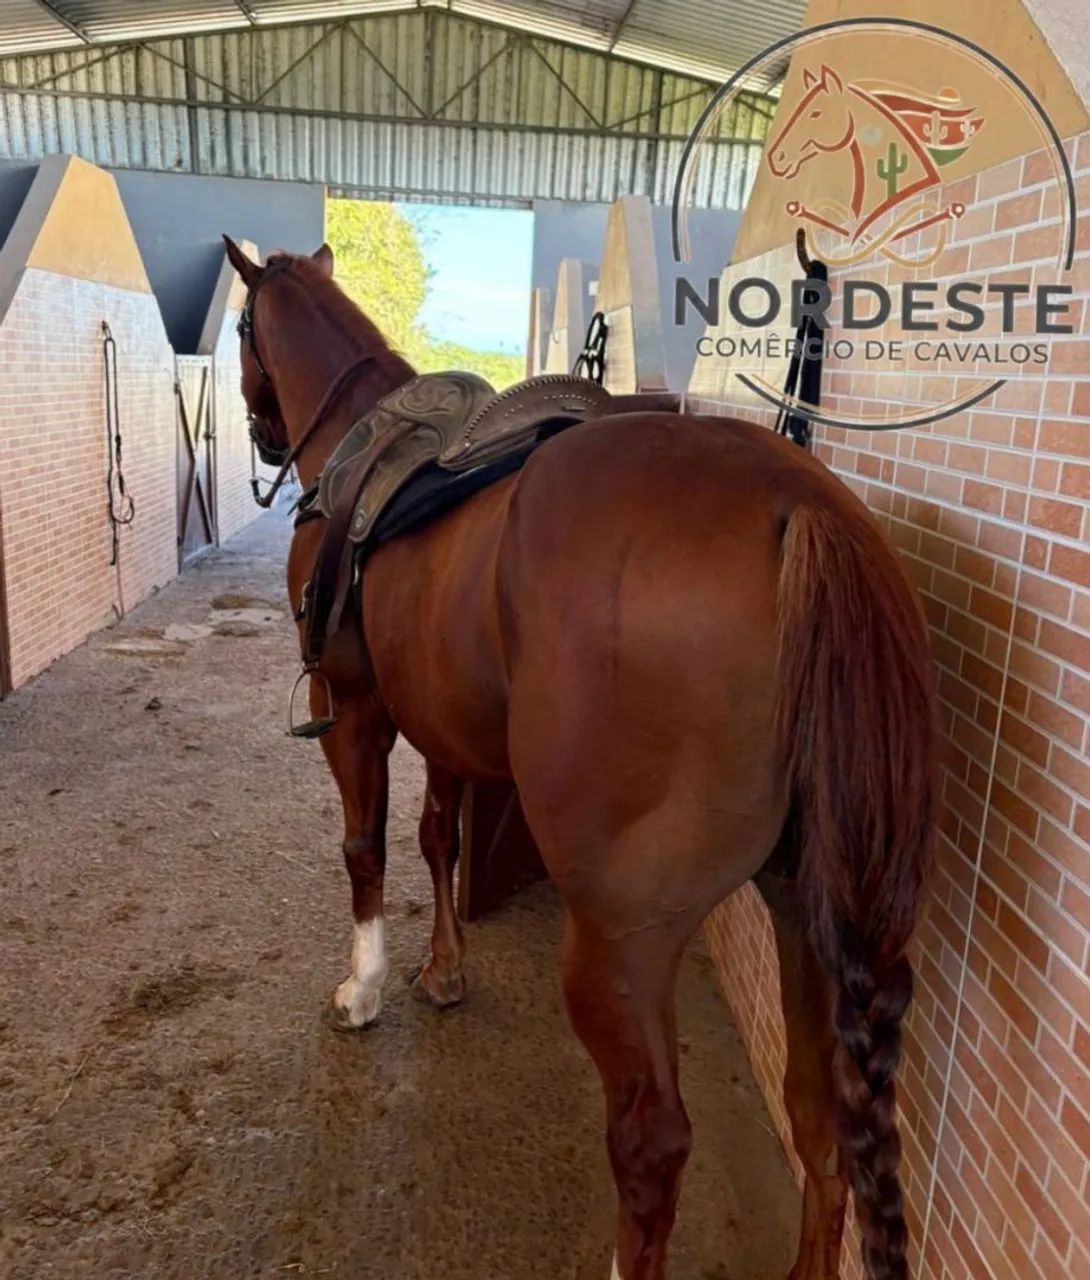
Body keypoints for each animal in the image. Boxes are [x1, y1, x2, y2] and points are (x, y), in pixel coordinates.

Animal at [223, 236, 935, 1280]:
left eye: (239, 329)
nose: (266, 440)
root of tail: (799, 505)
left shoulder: (352, 713)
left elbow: (367, 849)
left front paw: (365, 988)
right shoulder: (443, 728)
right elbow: (438, 838)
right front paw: (444, 968)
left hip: (620, 941)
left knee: (651, 1144)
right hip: (808, 911)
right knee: (821, 1123)